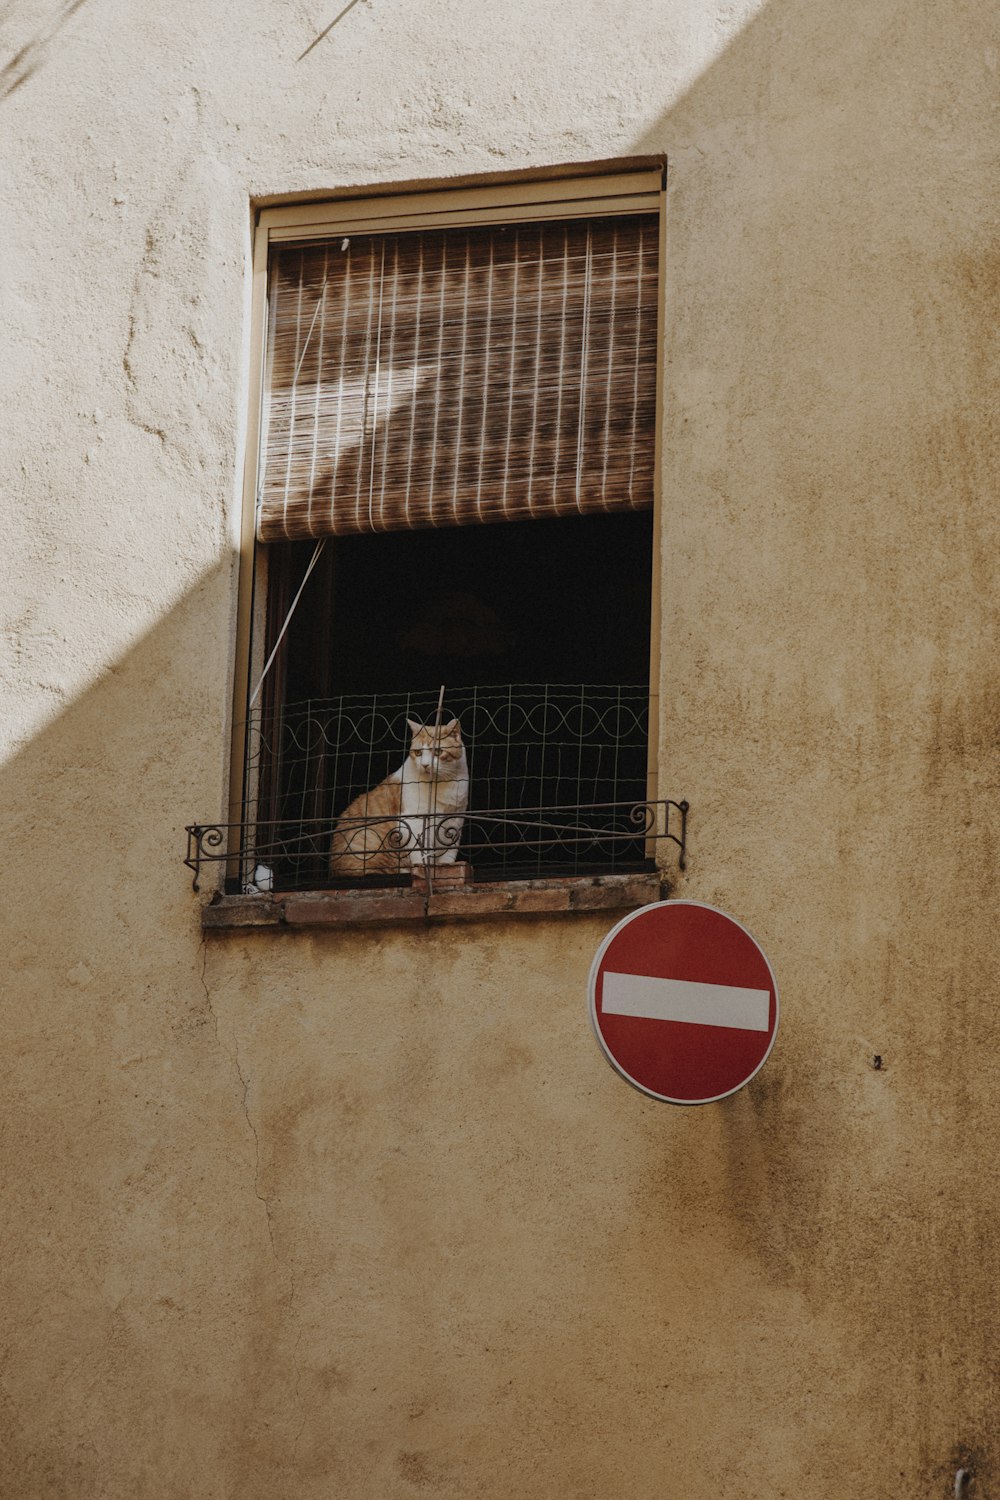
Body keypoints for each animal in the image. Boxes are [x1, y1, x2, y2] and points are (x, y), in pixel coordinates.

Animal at [328, 717, 470, 876]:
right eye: (418, 752)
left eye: (438, 752)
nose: (425, 765)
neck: (444, 783)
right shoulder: (415, 822)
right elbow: (421, 853)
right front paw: (424, 869)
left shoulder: (454, 821)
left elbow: (448, 854)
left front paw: (445, 869)